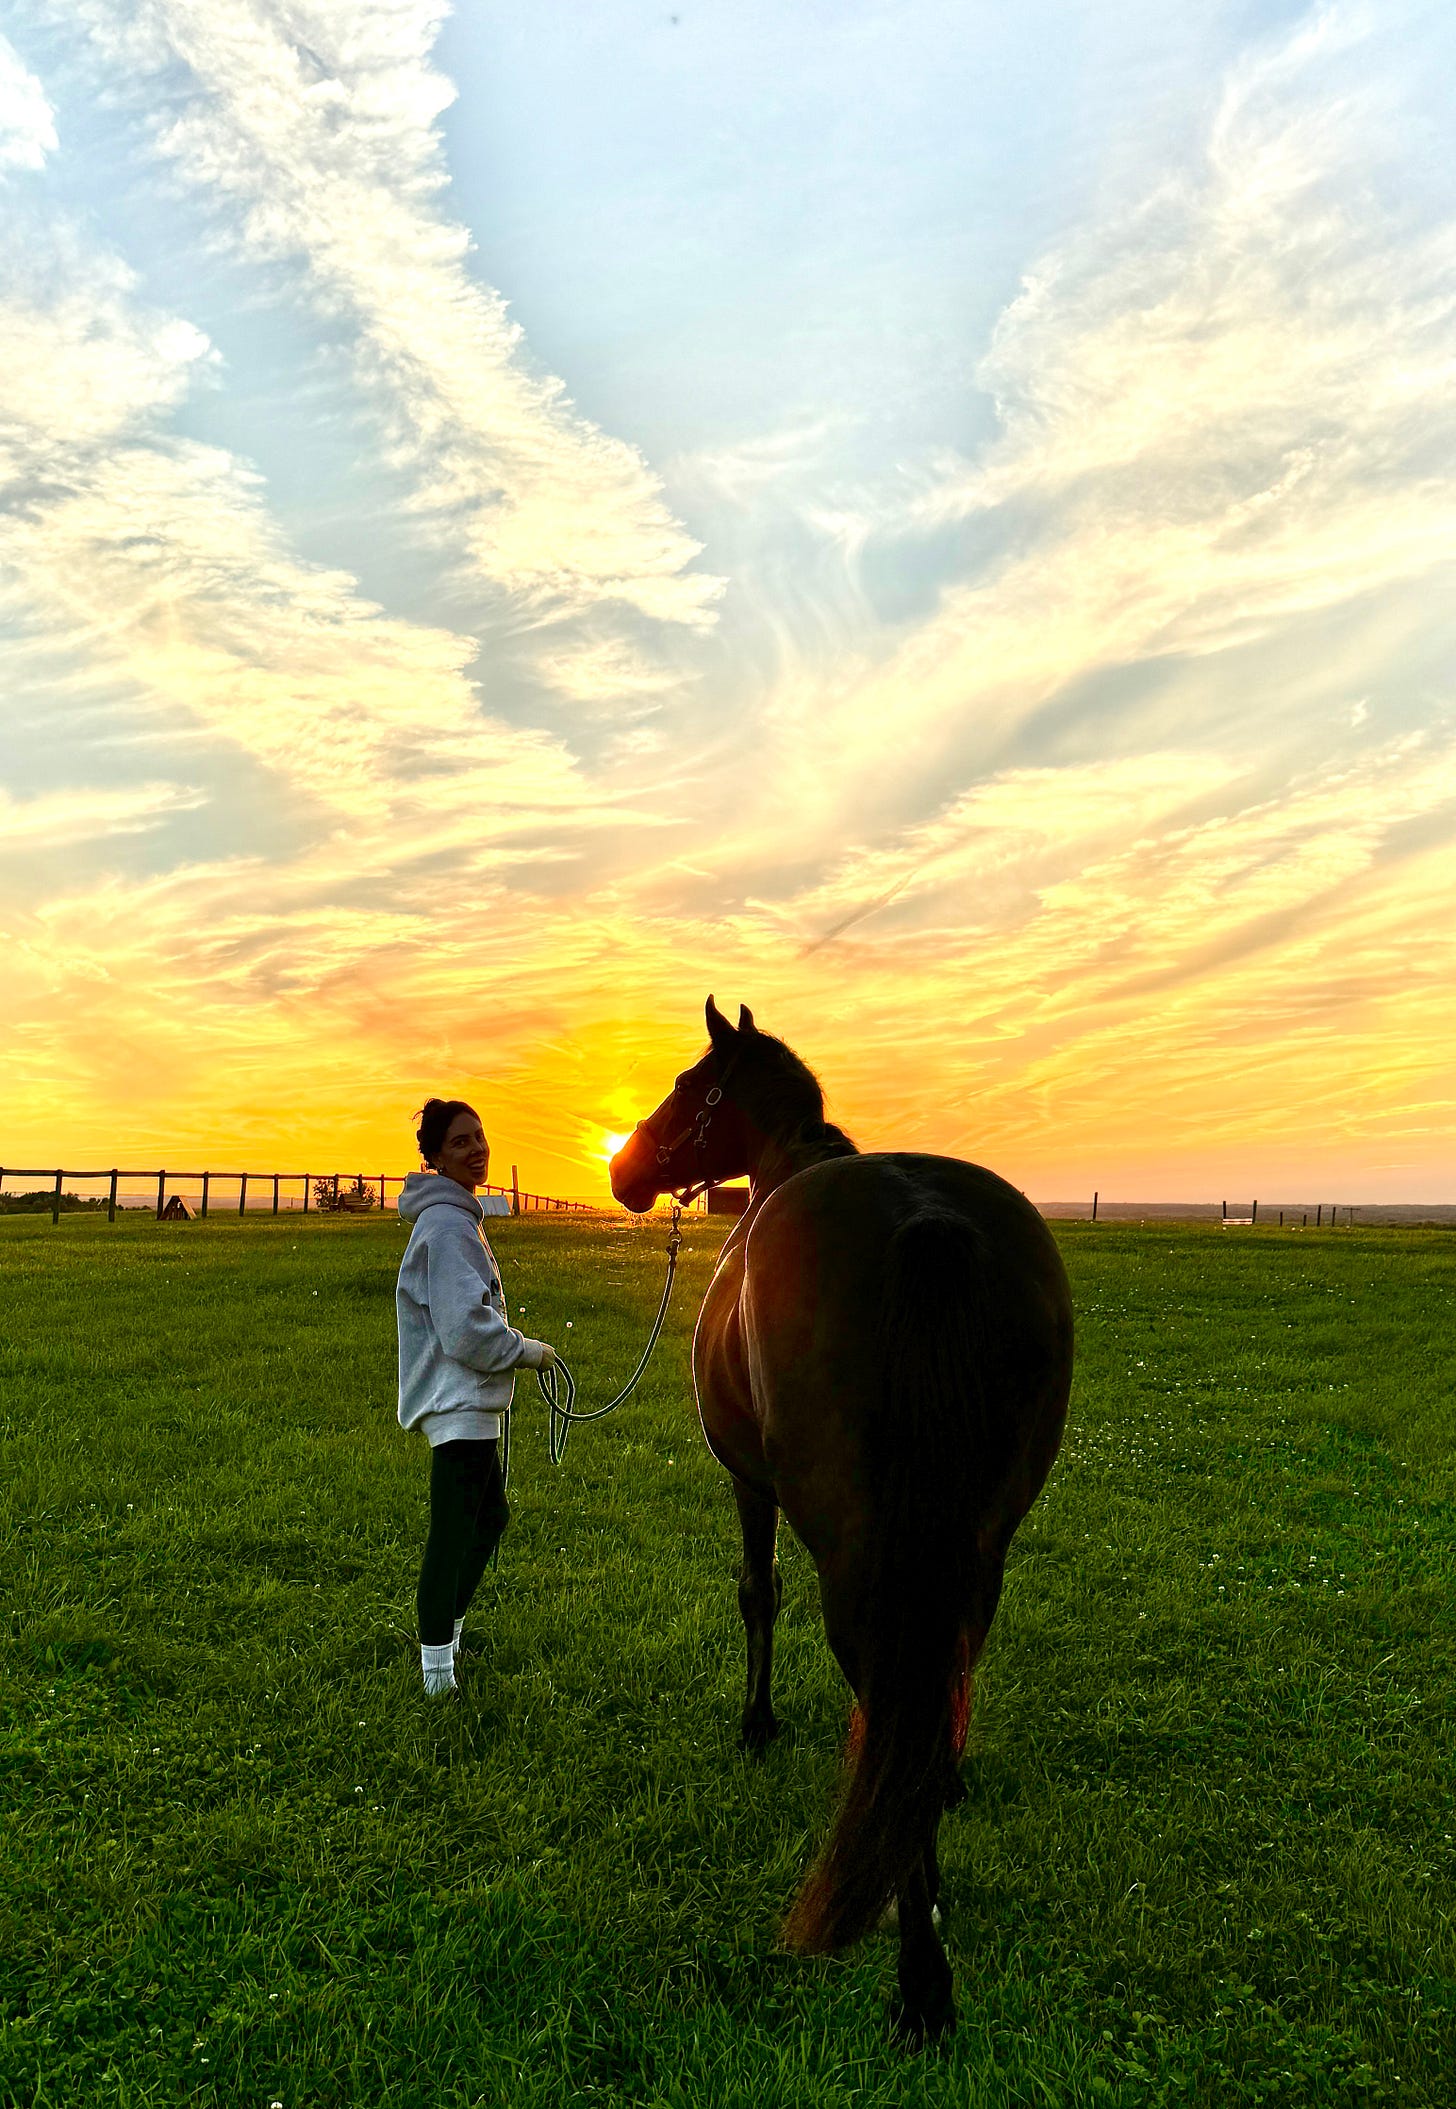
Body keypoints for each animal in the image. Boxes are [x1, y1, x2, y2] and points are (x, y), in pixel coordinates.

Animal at [608, 998, 1074, 2044]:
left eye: (689, 1086)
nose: (624, 1169)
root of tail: (924, 1223)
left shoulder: (750, 1482)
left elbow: (757, 1592)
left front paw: (756, 1722)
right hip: (979, 1546)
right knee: (938, 1680)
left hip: (856, 1555)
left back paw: (921, 1976)